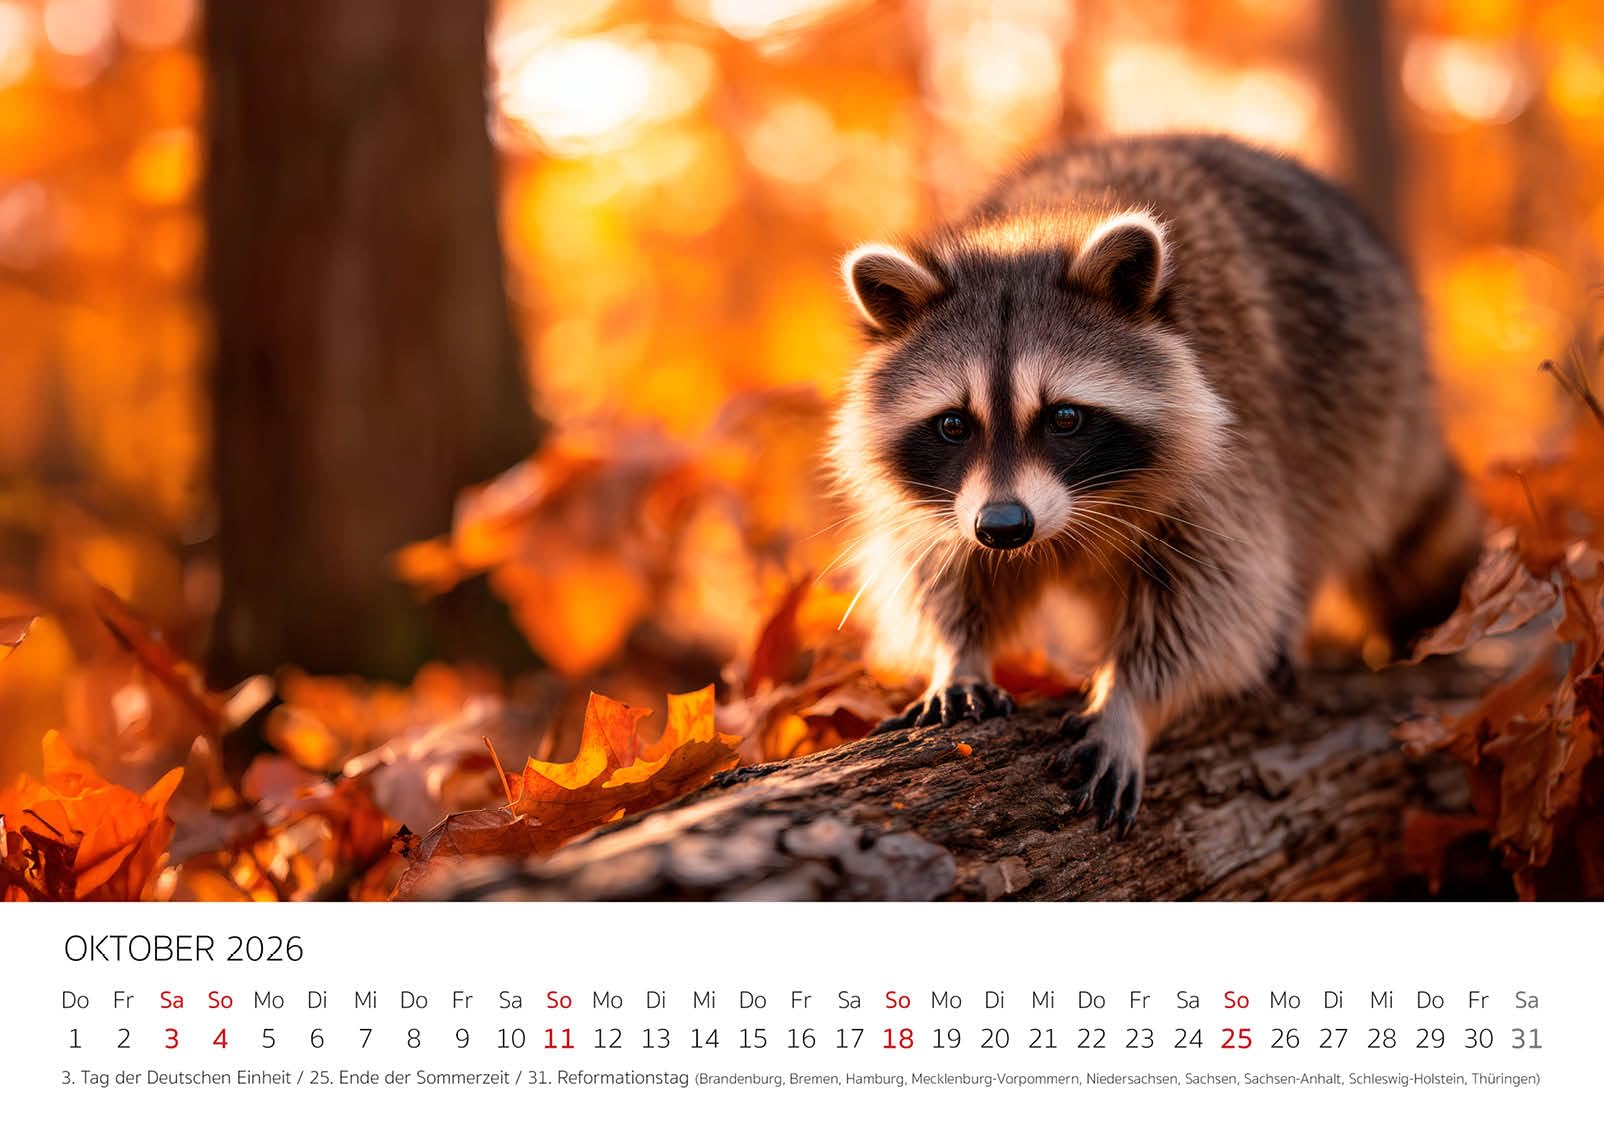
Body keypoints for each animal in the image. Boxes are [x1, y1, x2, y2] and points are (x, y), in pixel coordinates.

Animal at [828, 134, 1480, 836]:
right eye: (953, 424)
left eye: (1064, 417)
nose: (1004, 527)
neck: (1037, 231)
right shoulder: (949, 504)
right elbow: (943, 568)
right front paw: (958, 654)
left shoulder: (1228, 455)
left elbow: (1213, 599)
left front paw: (1128, 700)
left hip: (1368, 410)